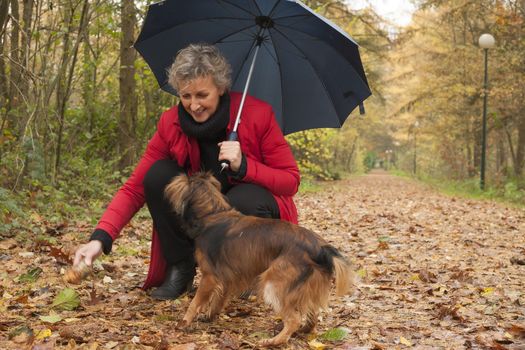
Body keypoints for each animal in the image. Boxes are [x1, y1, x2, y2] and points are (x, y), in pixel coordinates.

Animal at [166, 173, 354, 348]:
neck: (213, 214)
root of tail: (320, 248)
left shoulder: (209, 277)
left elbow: (195, 303)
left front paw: (183, 323)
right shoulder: (227, 277)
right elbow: (218, 299)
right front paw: (210, 316)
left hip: (274, 283)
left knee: (293, 319)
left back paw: (273, 341)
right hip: (308, 286)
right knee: (312, 314)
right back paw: (303, 330)